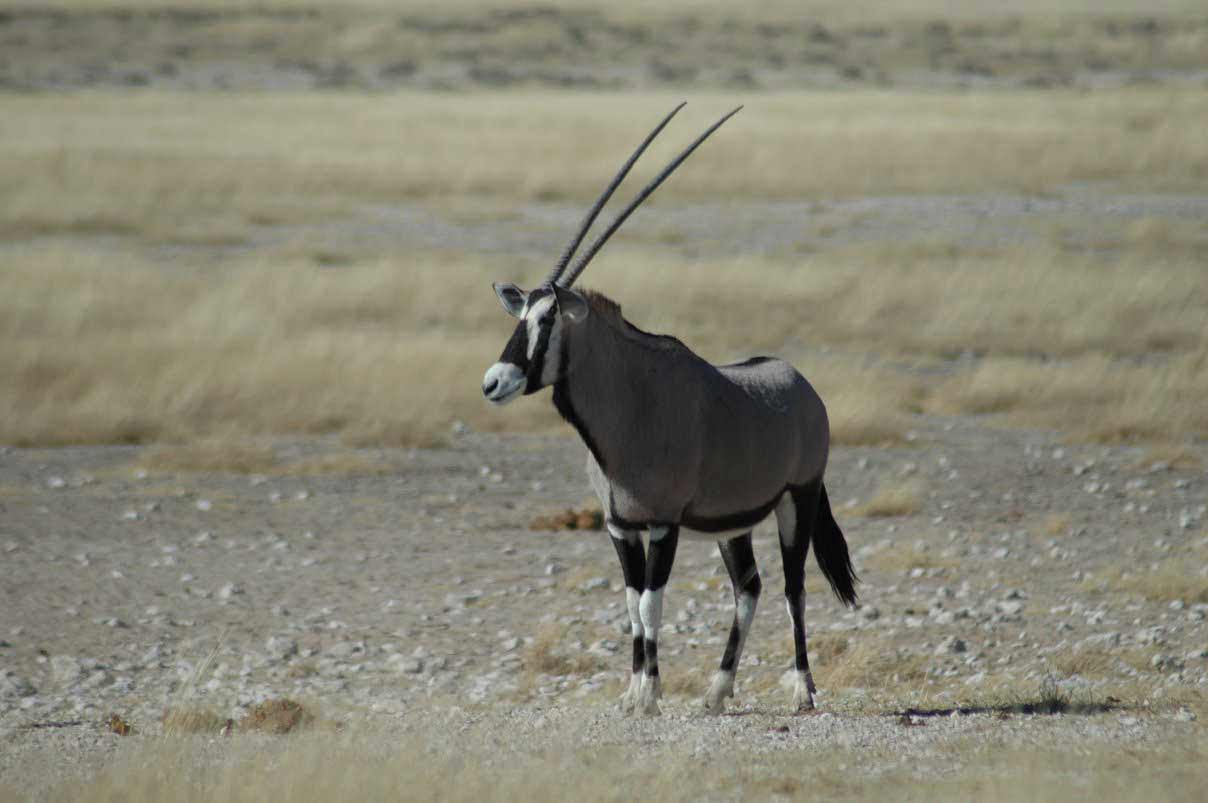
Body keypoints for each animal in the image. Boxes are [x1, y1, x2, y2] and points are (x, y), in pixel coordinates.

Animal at [482, 103, 857, 716]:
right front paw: (634, 692)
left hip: (796, 500)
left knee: (793, 587)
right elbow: (632, 604)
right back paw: (718, 691)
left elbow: (652, 605)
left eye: (548, 319)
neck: (631, 406)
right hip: (735, 522)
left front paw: (649, 696)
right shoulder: (620, 526)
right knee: (749, 587)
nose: (494, 382)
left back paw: (802, 689)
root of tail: (802, 386)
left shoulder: (662, 524)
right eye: (519, 317)